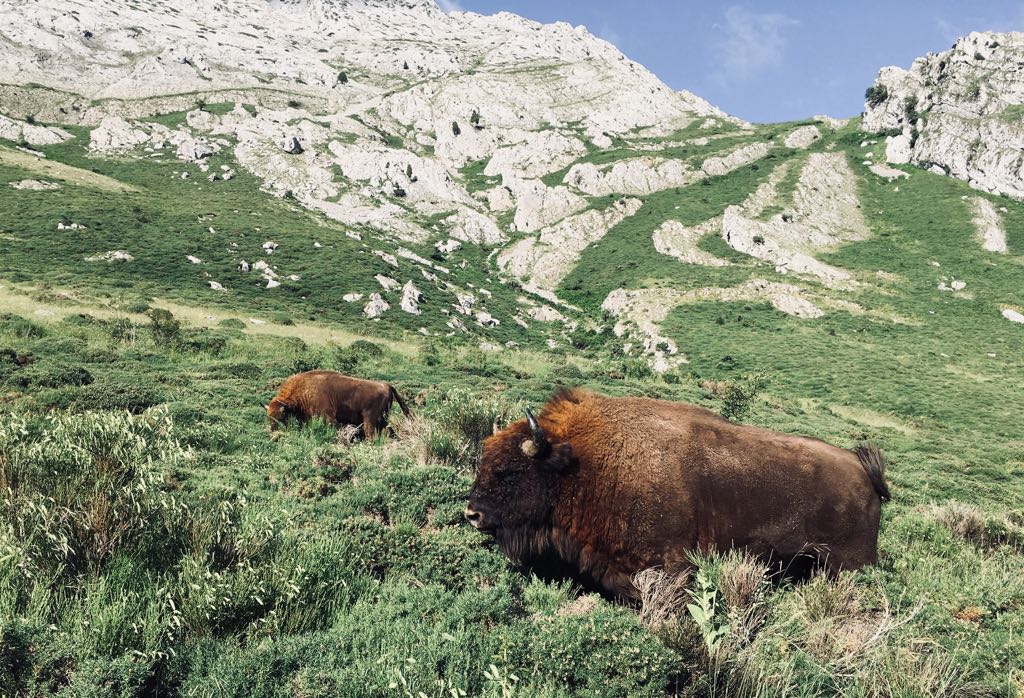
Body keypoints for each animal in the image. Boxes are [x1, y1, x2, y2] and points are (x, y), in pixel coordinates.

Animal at [268, 370, 411, 433]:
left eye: (281, 417)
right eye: (269, 417)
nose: (272, 431)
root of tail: (386, 385)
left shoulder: (328, 416)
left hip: (370, 419)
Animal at [464, 386, 888, 597]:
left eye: (508, 471)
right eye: (483, 461)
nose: (472, 514)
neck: (580, 463)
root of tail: (862, 470)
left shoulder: (671, 566)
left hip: (850, 563)